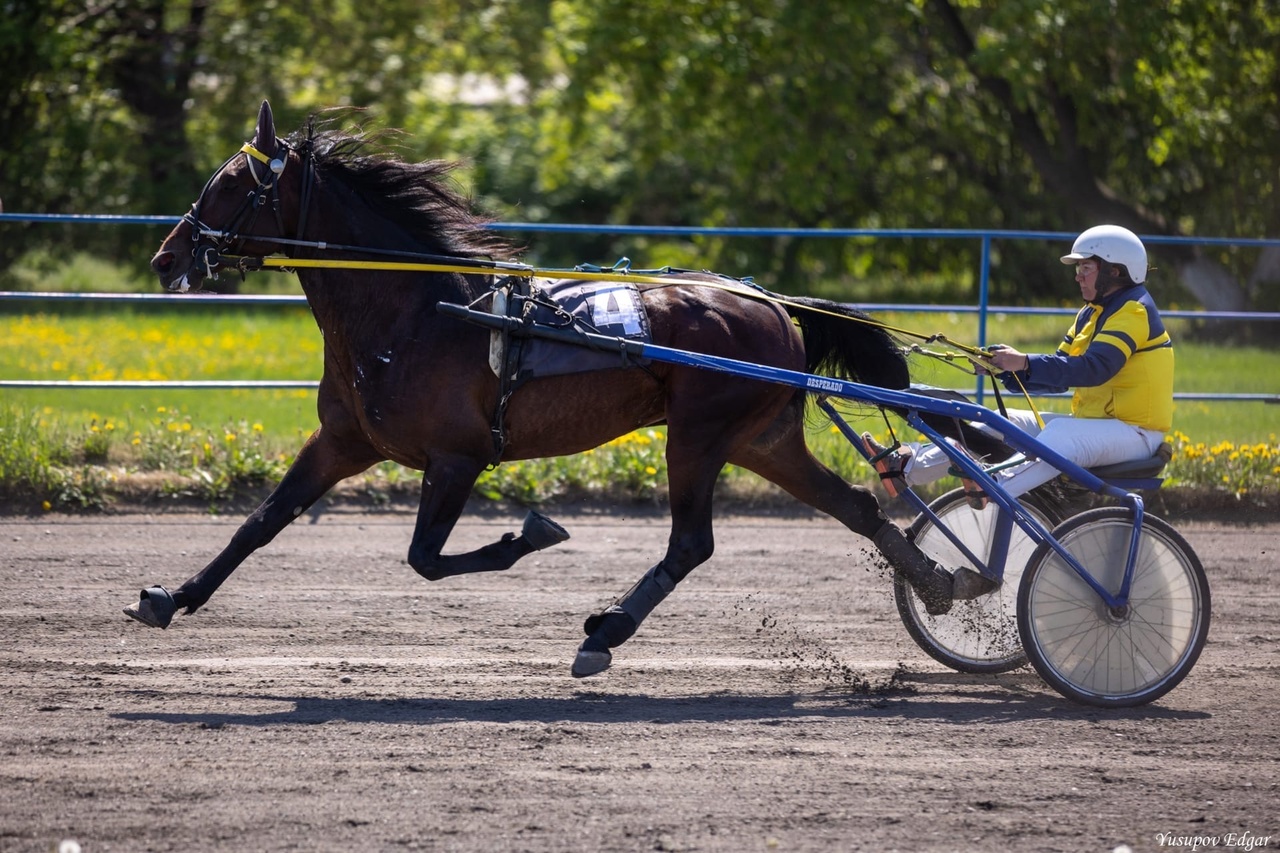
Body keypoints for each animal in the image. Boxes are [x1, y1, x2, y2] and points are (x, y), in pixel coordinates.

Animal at [127, 99, 988, 676]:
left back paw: (605, 633)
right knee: (857, 507)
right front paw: (171, 597)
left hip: (699, 435)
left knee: (692, 541)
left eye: (230, 182)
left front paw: (533, 532)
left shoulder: (458, 456)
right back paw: (943, 580)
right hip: (761, 438)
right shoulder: (342, 440)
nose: (167, 257)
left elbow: (426, 557)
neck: (416, 311)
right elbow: (261, 522)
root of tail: (771, 303)